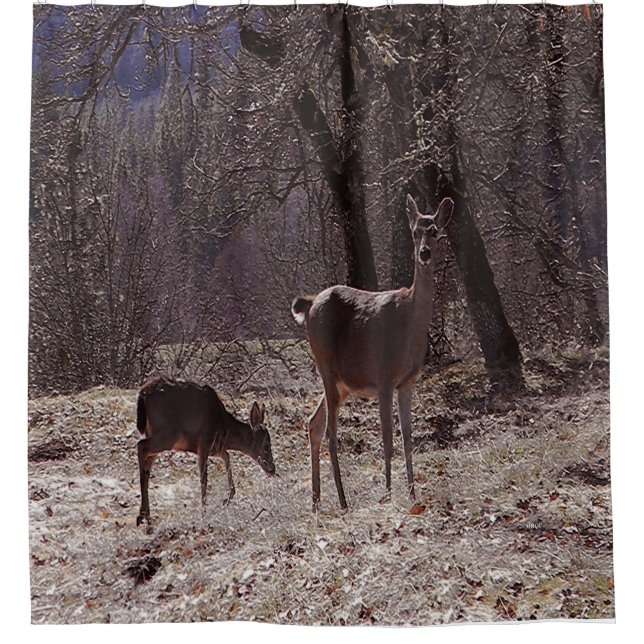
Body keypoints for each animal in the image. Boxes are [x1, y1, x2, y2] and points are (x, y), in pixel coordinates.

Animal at [135, 377, 276, 526]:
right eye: (267, 446)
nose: (272, 469)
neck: (224, 427)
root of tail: (143, 393)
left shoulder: (216, 448)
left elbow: (227, 457)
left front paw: (227, 499)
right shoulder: (204, 443)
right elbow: (204, 480)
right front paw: (204, 512)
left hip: (156, 435)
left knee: (148, 461)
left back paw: (145, 514)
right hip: (166, 435)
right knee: (141, 446)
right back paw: (143, 515)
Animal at [291, 194, 453, 511]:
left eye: (435, 231)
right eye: (414, 231)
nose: (425, 253)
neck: (409, 325)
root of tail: (310, 303)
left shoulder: (407, 382)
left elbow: (407, 437)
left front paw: (413, 493)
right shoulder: (384, 377)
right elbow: (387, 437)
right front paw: (388, 493)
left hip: (342, 382)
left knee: (313, 424)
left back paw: (316, 501)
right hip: (325, 364)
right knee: (329, 432)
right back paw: (342, 500)